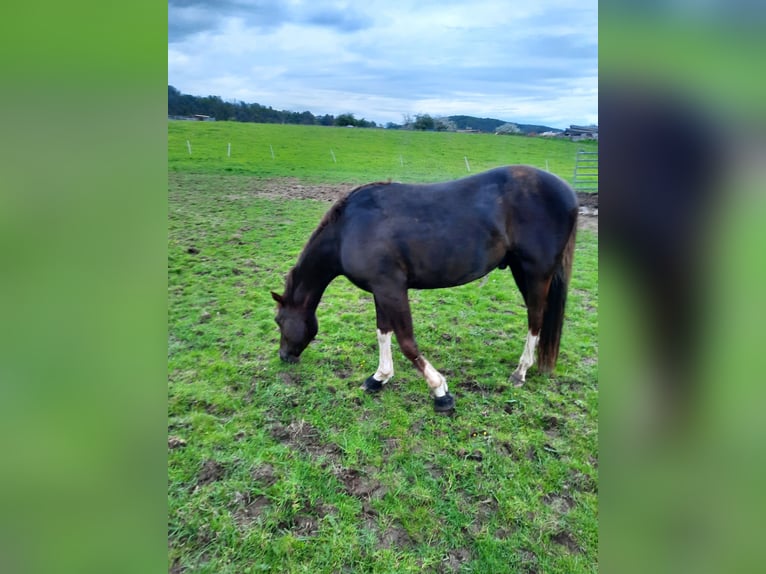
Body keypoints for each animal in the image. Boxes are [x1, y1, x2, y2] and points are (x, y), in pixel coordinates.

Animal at [272, 166, 580, 414]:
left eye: (278, 321)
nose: (284, 356)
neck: (348, 228)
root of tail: (568, 193)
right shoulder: (380, 289)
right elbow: (383, 333)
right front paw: (379, 378)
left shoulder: (392, 288)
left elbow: (408, 343)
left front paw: (440, 391)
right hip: (522, 270)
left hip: (534, 273)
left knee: (536, 318)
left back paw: (520, 372)